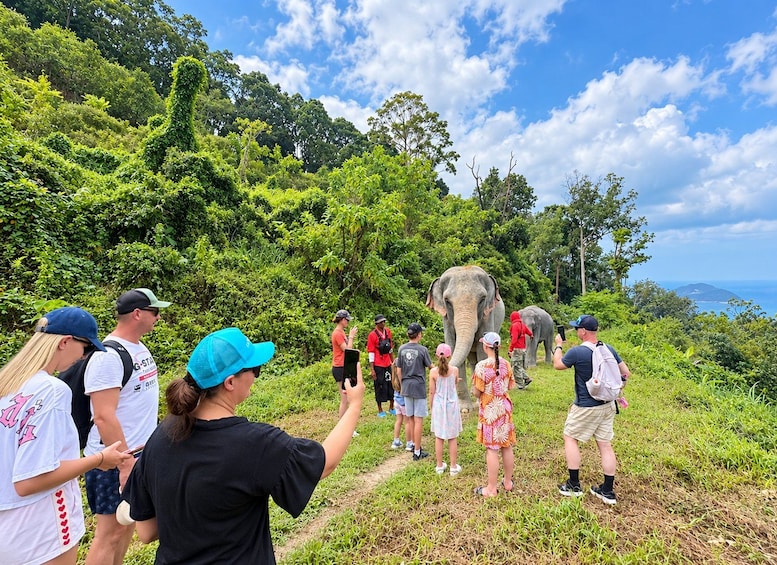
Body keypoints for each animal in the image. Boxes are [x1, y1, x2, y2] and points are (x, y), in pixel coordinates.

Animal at [426, 266, 505, 410]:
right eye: (447, 301)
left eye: (482, 299)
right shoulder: (446, 319)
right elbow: (453, 347)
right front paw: (464, 409)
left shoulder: (487, 315)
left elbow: (482, 351)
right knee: (473, 360)